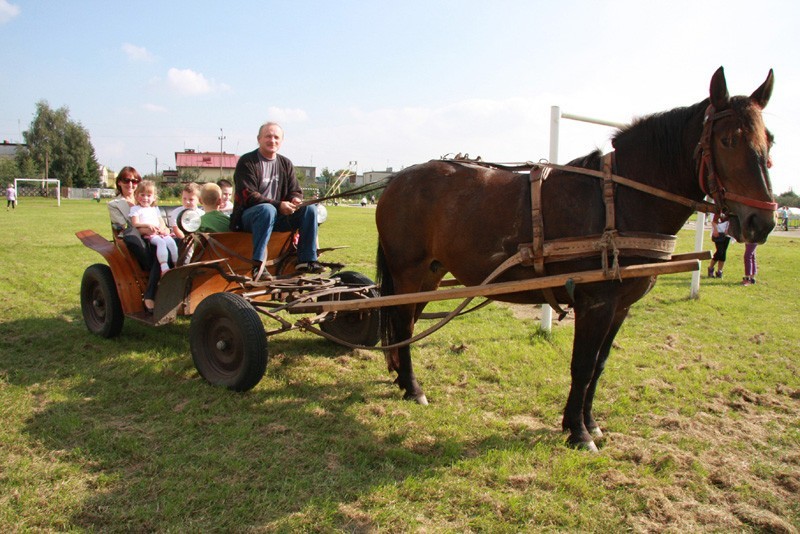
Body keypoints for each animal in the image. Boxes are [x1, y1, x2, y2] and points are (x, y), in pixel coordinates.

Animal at [374, 67, 776, 452]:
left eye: (769, 139)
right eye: (728, 140)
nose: (762, 222)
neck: (620, 200)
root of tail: (397, 180)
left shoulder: (620, 307)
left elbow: (598, 365)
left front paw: (590, 422)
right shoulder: (595, 302)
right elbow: (582, 366)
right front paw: (578, 433)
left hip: (431, 275)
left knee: (408, 321)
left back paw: (399, 374)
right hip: (408, 271)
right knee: (403, 324)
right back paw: (412, 387)